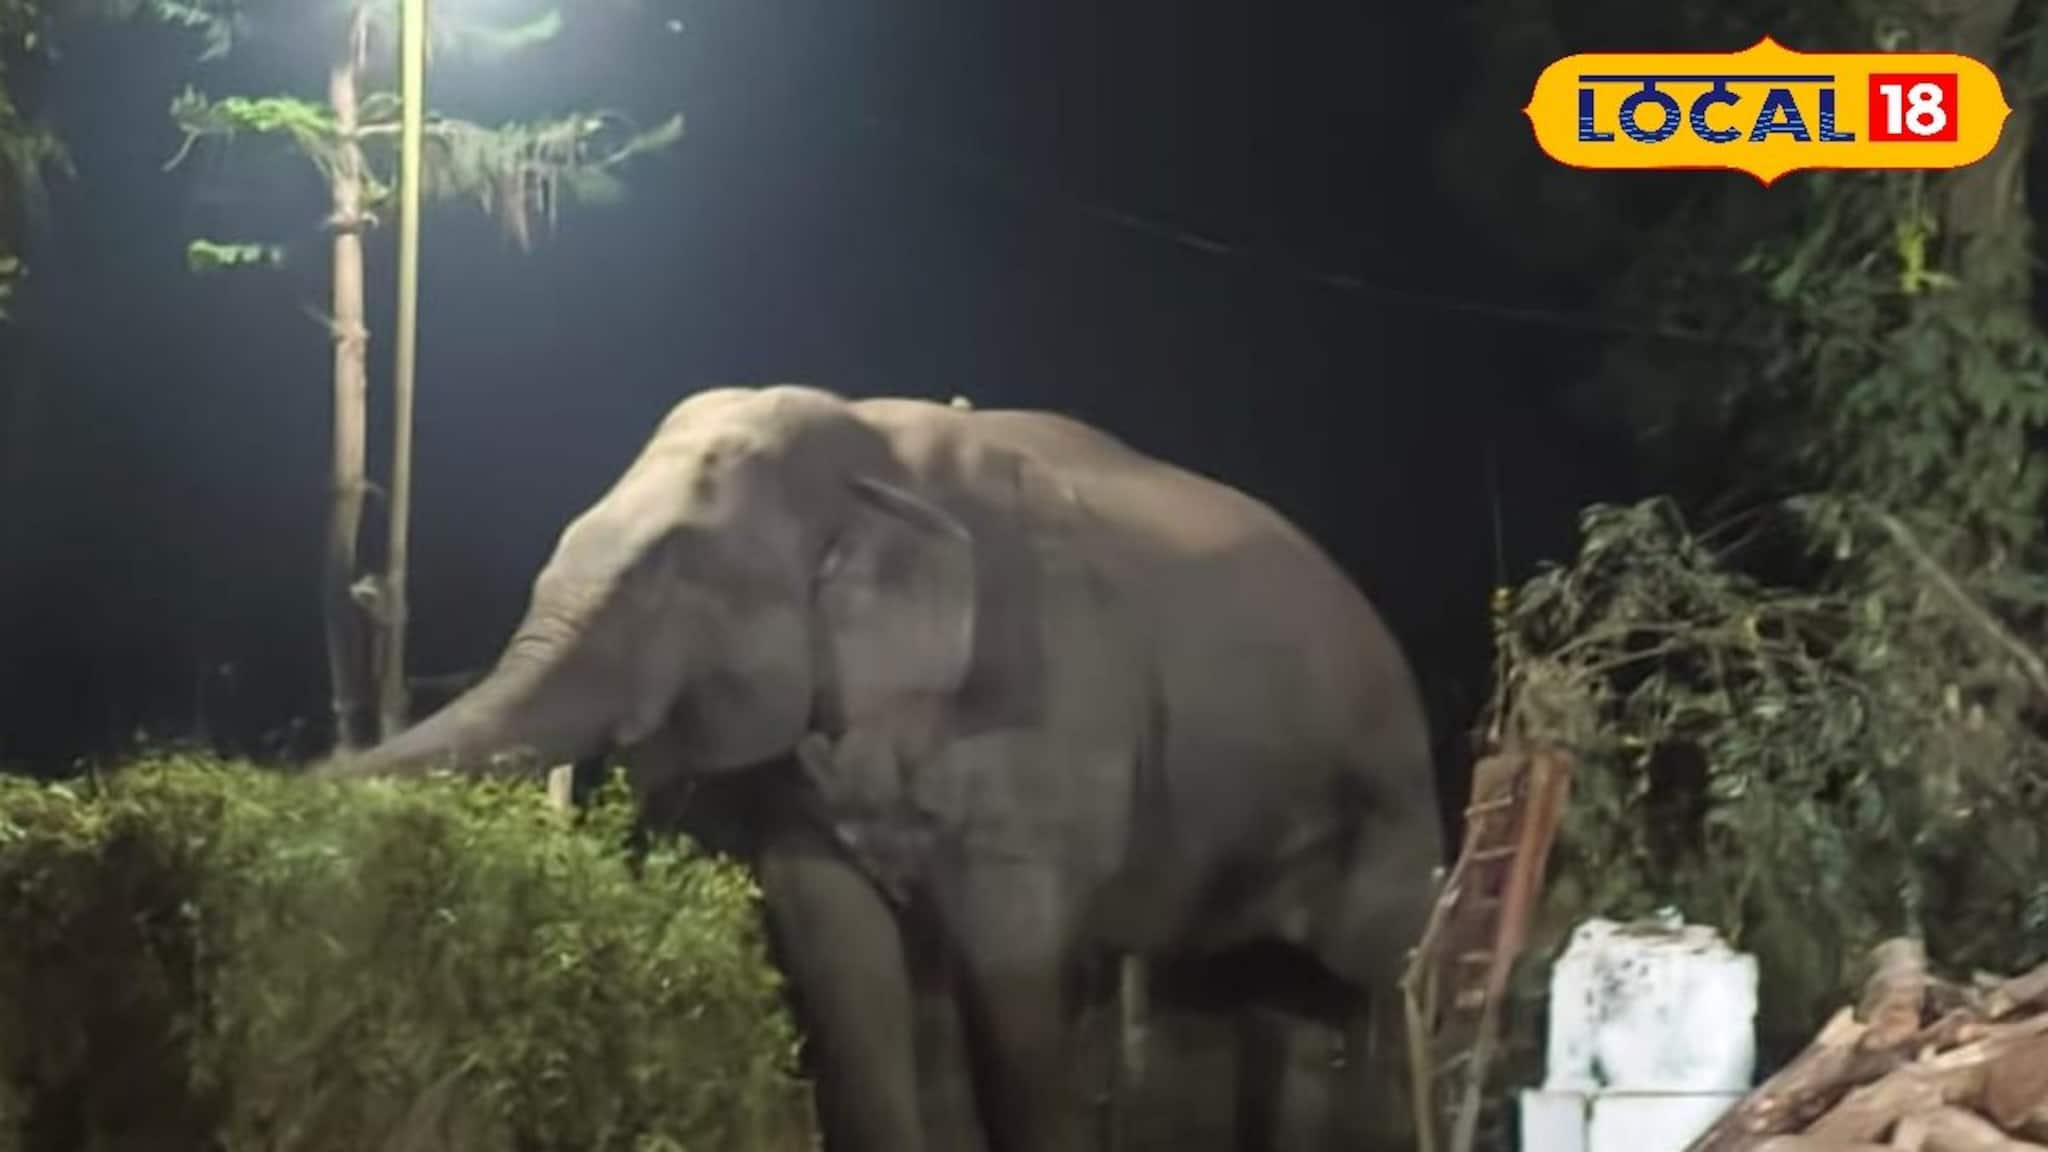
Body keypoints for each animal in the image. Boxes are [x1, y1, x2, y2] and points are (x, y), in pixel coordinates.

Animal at [323, 384, 1445, 1152]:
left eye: (667, 574)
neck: (867, 445)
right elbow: (842, 961)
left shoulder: (1048, 712)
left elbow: (1013, 978)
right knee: (1263, 1001)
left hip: (1387, 817)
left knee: (1353, 994)